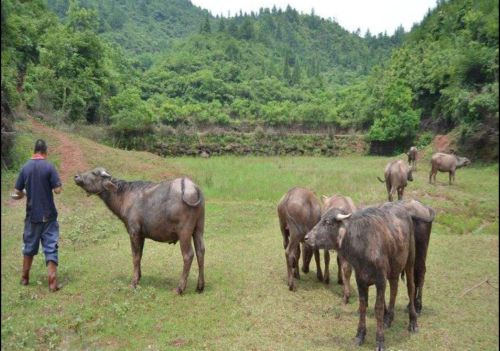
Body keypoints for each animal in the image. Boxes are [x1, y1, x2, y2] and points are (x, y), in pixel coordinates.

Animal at [73, 169, 205, 296]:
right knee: (200, 251)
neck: (125, 197)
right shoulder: (141, 235)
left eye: (94, 173)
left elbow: (135, 256)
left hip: (184, 232)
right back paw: (200, 287)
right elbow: (140, 255)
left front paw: (134, 282)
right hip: (199, 229)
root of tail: (193, 187)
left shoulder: (134, 232)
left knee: (188, 255)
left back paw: (180, 288)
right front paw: (139, 277)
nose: (76, 176)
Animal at [304, 204, 418, 351]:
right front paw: (360, 335)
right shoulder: (361, 280)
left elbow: (378, 308)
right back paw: (389, 319)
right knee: (394, 288)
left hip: (410, 261)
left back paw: (413, 322)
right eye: (320, 219)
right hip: (394, 267)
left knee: (411, 288)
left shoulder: (381, 281)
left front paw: (380, 340)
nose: (306, 237)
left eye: (328, 222)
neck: (363, 246)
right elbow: (363, 306)